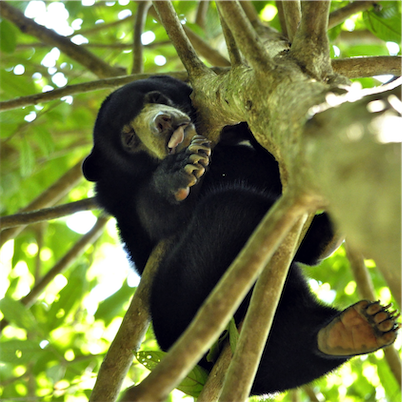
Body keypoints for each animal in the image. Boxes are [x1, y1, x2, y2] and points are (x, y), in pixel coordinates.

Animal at [82, 75, 398, 396]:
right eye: (129, 137)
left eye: (156, 97)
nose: (163, 122)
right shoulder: (125, 205)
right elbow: (156, 218)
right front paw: (180, 171)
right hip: (180, 298)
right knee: (231, 206)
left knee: (288, 347)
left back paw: (356, 327)